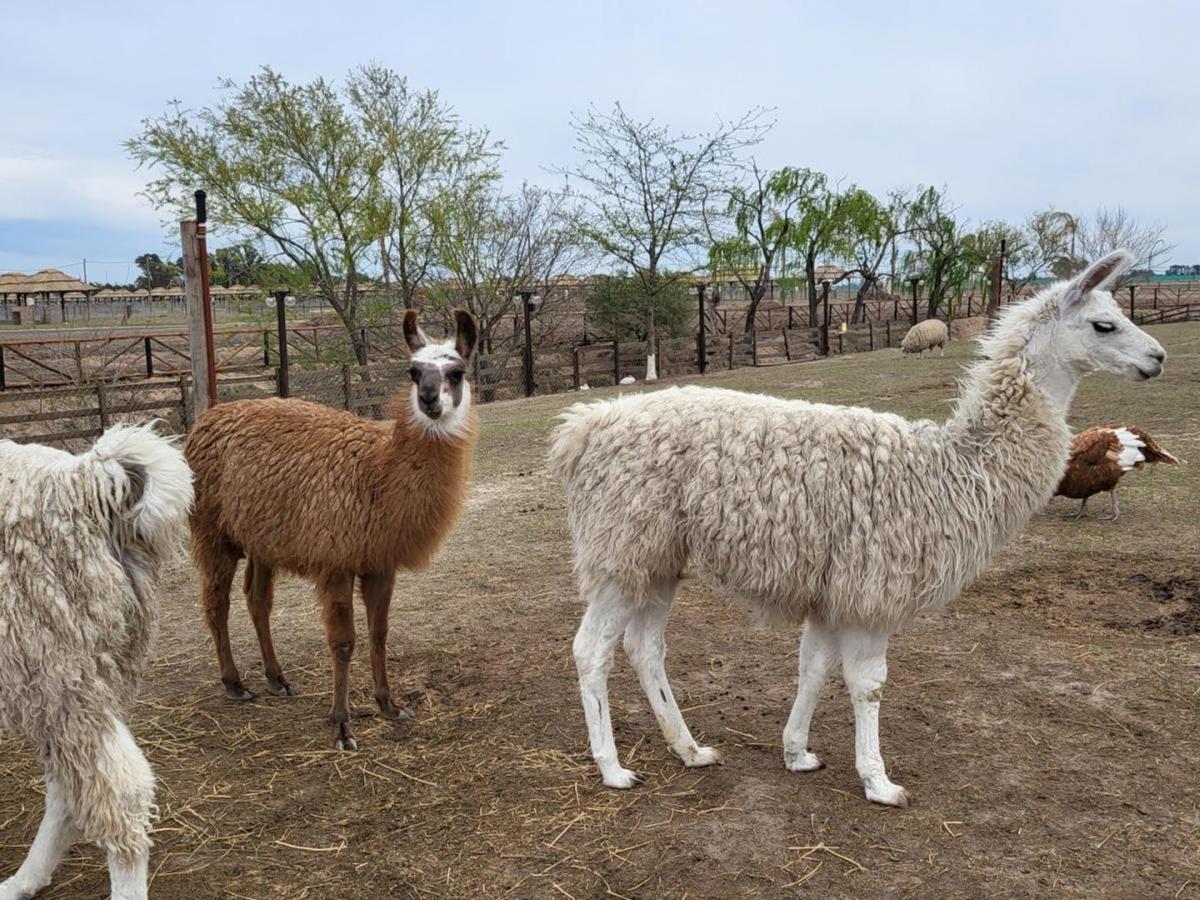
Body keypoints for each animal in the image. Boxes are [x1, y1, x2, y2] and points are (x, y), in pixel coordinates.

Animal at [0, 424, 189, 900]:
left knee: (118, 794)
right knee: (72, 786)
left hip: (53, 662)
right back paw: (23, 881)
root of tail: (85, 482)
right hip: (80, 672)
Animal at [184, 314, 475, 748]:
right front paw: (341, 725)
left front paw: (389, 705)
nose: (427, 399)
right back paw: (234, 683)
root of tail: (205, 418)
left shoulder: (380, 562)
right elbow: (343, 642)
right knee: (216, 602)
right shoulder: (337, 558)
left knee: (257, 599)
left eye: (456, 372)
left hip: (263, 537)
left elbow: (379, 632)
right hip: (213, 531)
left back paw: (277, 678)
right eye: (413, 371)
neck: (378, 473)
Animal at [549, 254, 1161, 811]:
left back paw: (690, 749)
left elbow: (813, 668)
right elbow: (869, 684)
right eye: (1104, 324)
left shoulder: (835, 590)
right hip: (620, 547)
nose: (1157, 357)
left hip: (657, 556)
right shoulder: (873, 589)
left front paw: (797, 752)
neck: (953, 469)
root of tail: (584, 427)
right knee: (591, 650)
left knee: (645, 647)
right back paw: (613, 769)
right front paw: (880, 782)